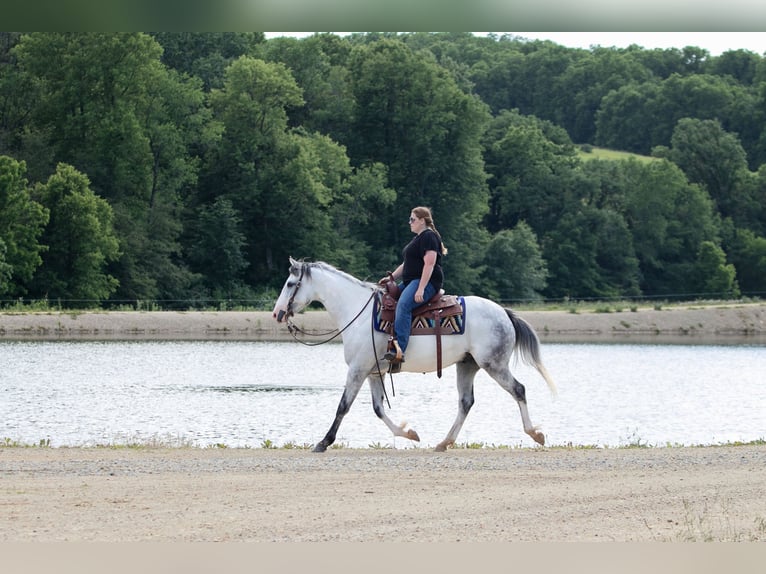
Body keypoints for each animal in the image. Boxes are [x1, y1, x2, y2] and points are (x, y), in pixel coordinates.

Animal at [272, 258, 560, 452]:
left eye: (289, 283)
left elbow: (343, 406)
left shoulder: (357, 369)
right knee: (466, 402)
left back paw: (535, 434)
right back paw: (444, 442)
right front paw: (409, 433)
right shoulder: (373, 371)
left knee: (518, 390)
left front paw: (323, 442)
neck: (358, 313)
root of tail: (504, 313)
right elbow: (378, 409)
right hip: (467, 365)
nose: (277, 313)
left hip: (494, 364)